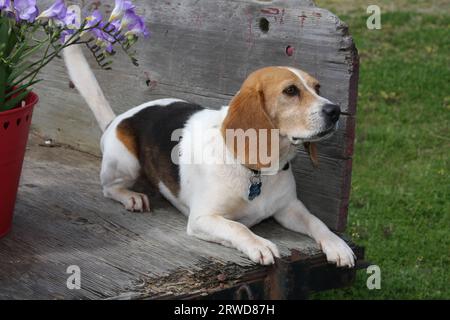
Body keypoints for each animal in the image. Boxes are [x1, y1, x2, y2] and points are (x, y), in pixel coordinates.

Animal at [63, 45, 356, 268]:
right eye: (290, 91)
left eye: (317, 87)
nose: (335, 110)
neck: (258, 170)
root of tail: (117, 120)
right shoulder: (202, 219)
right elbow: (239, 228)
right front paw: (259, 243)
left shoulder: (289, 208)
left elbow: (317, 222)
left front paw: (337, 244)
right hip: (126, 162)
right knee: (109, 188)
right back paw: (131, 196)